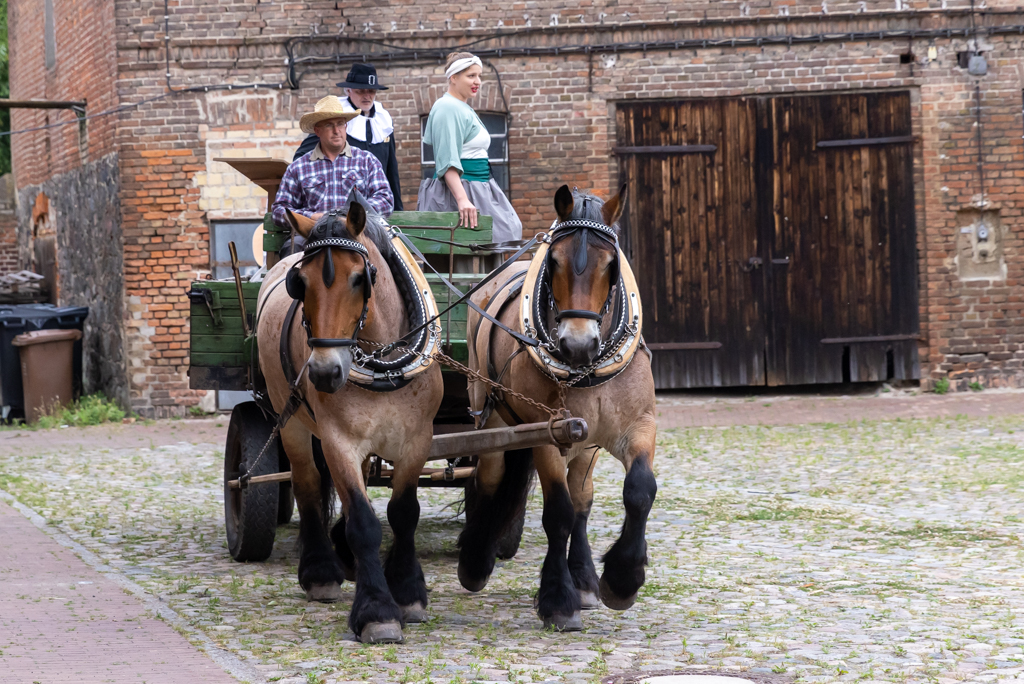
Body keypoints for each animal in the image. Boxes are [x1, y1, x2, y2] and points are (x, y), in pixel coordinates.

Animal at [256, 205, 440, 643]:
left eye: (360, 278)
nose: (324, 373)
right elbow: (363, 522)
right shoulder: (338, 441)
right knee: (306, 483)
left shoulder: (417, 439)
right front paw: (377, 611)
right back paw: (321, 571)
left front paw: (408, 592)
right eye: (300, 283)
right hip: (290, 419)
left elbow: (404, 512)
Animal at [462, 185, 659, 630]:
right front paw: (557, 600)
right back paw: (475, 560)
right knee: (489, 477)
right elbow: (558, 513)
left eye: (612, 265)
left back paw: (584, 579)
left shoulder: (637, 426)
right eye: (554, 261)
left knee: (582, 496)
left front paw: (621, 579)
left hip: (585, 443)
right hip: (491, 416)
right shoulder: (547, 435)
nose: (577, 344)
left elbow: (639, 490)